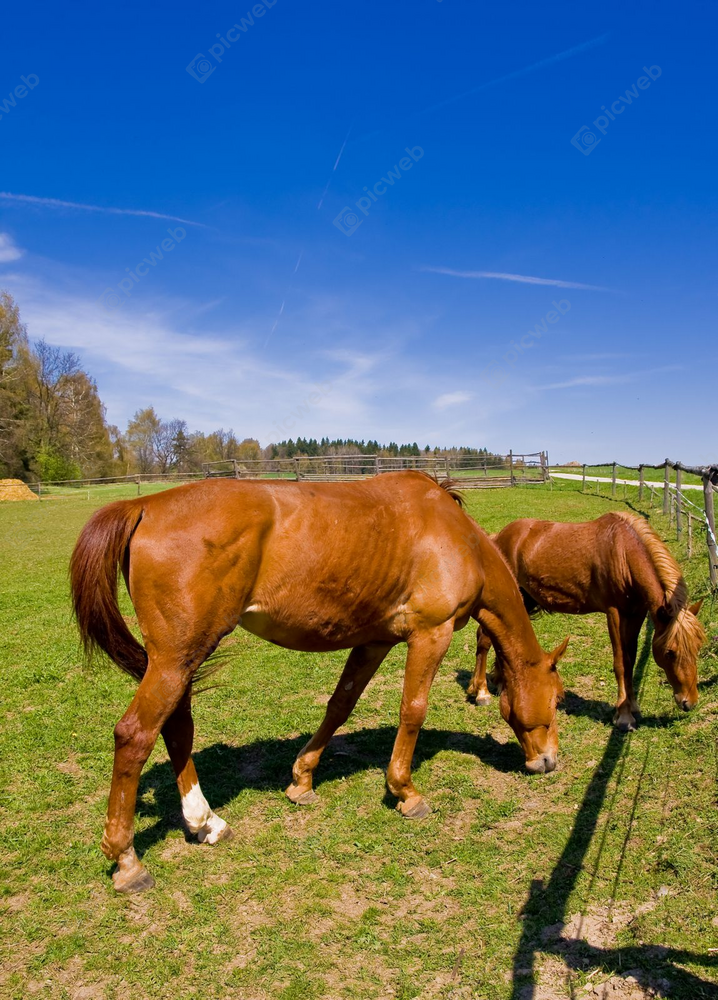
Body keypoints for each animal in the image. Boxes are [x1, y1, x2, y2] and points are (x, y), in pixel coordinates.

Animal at [71, 472, 568, 896]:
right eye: (557, 701)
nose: (548, 762)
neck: (457, 537)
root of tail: (145, 505)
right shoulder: (431, 634)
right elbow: (413, 710)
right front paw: (405, 792)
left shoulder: (374, 641)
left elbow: (340, 705)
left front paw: (302, 779)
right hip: (176, 660)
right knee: (135, 735)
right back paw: (127, 860)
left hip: (178, 661)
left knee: (176, 730)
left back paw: (206, 822)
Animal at [466, 512, 708, 732]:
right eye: (670, 652)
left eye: (698, 648)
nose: (689, 702)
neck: (624, 553)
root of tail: (499, 536)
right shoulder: (615, 613)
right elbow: (622, 663)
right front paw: (624, 716)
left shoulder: (636, 614)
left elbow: (631, 657)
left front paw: (633, 706)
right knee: (484, 639)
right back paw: (481, 692)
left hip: (523, 598)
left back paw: (500, 681)